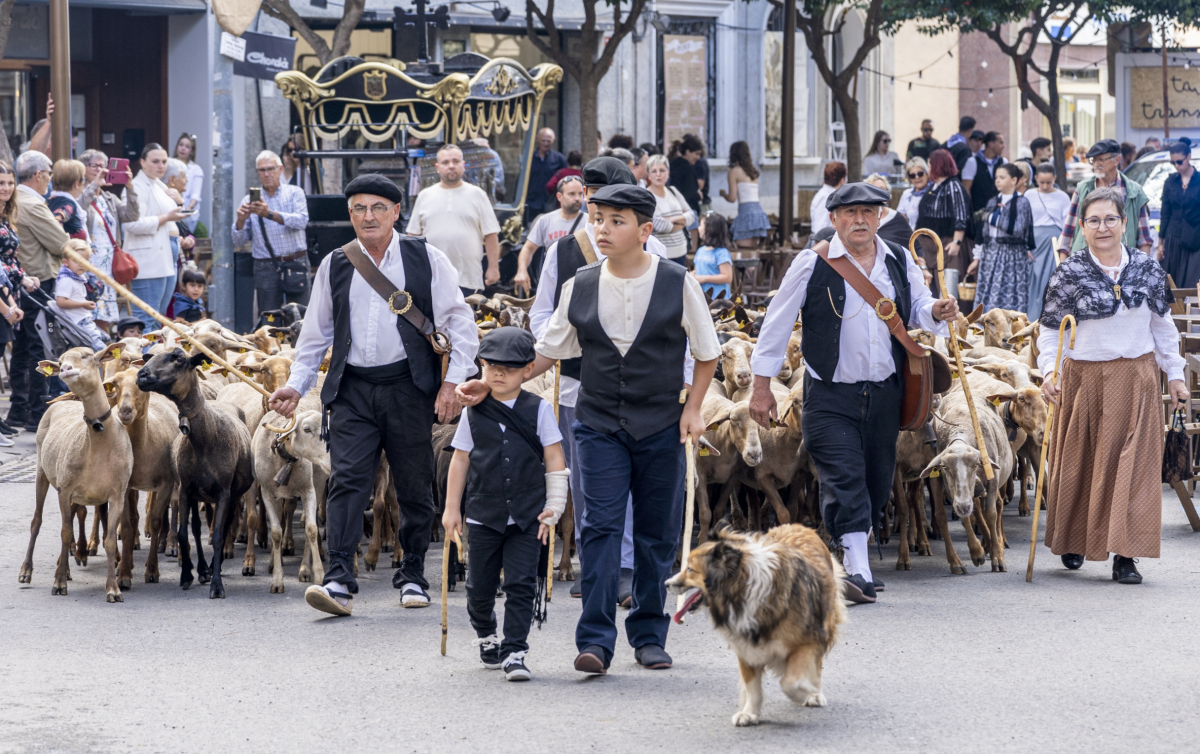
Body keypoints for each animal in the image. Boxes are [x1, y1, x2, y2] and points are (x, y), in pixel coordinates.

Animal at [667, 523, 844, 725]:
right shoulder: (745, 647)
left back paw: (815, 693)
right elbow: (752, 687)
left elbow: (789, 682)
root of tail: (800, 526)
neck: (743, 590)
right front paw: (750, 712)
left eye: (690, 569)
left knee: (816, 665)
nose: (665, 584)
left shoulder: (806, 642)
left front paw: (803, 694)